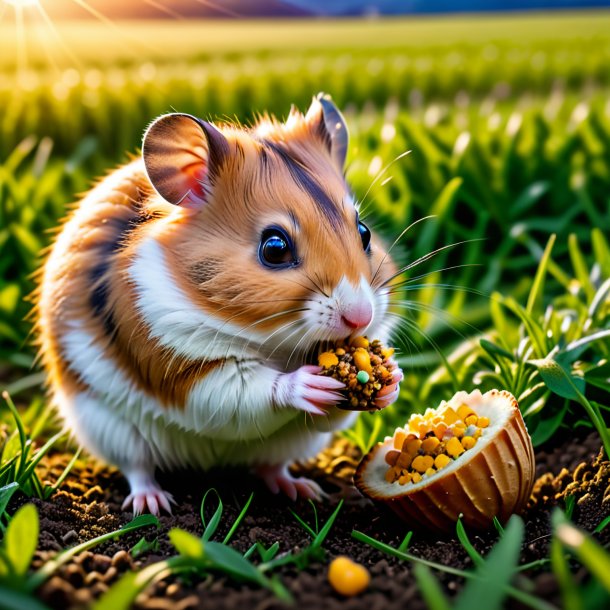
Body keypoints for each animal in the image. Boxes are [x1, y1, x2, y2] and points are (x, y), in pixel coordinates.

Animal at [35, 94, 402, 512]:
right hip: (110, 430)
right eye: (274, 248)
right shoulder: (177, 366)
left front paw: (393, 381)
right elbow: (244, 391)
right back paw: (153, 504)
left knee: (270, 465)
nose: (361, 318)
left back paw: (302, 489)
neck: (273, 342)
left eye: (364, 232)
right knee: (137, 468)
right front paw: (309, 384)